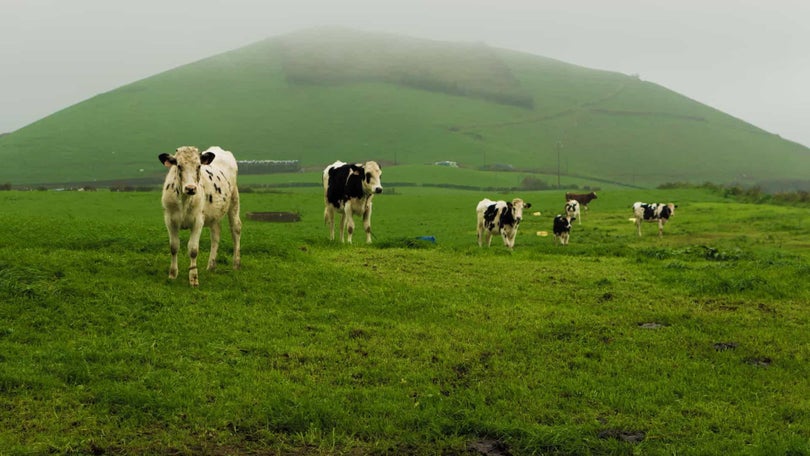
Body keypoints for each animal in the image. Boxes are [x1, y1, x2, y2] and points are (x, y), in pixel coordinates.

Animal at [158, 144, 240, 286]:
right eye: (178, 165)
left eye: (198, 166)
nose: (190, 188)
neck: (184, 200)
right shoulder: (170, 220)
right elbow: (174, 247)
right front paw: (172, 274)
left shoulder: (198, 221)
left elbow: (193, 249)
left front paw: (193, 278)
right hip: (214, 214)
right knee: (216, 234)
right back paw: (211, 266)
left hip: (234, 199)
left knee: (236, 229)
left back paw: (236, 263)